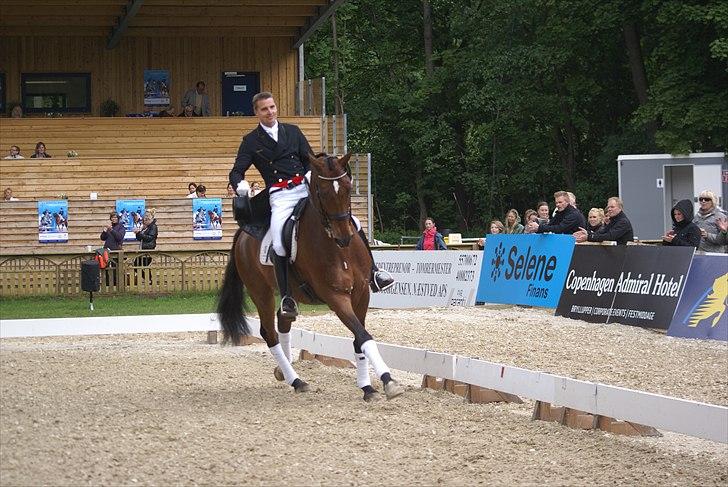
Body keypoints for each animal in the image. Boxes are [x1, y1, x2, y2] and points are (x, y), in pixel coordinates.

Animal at [219, 154, 406, 402]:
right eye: (323, 193)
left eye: (348, 187)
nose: (344, 237)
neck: (338, 250)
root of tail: (243, 232)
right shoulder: (335, 297)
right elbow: (363, 335)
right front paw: (388, 381)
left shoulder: (361, 295)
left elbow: (359, 339)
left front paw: (367, 387)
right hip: (260, 292)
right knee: (269, 333)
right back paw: (296, 380)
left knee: (283, 320)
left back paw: (285, 370)